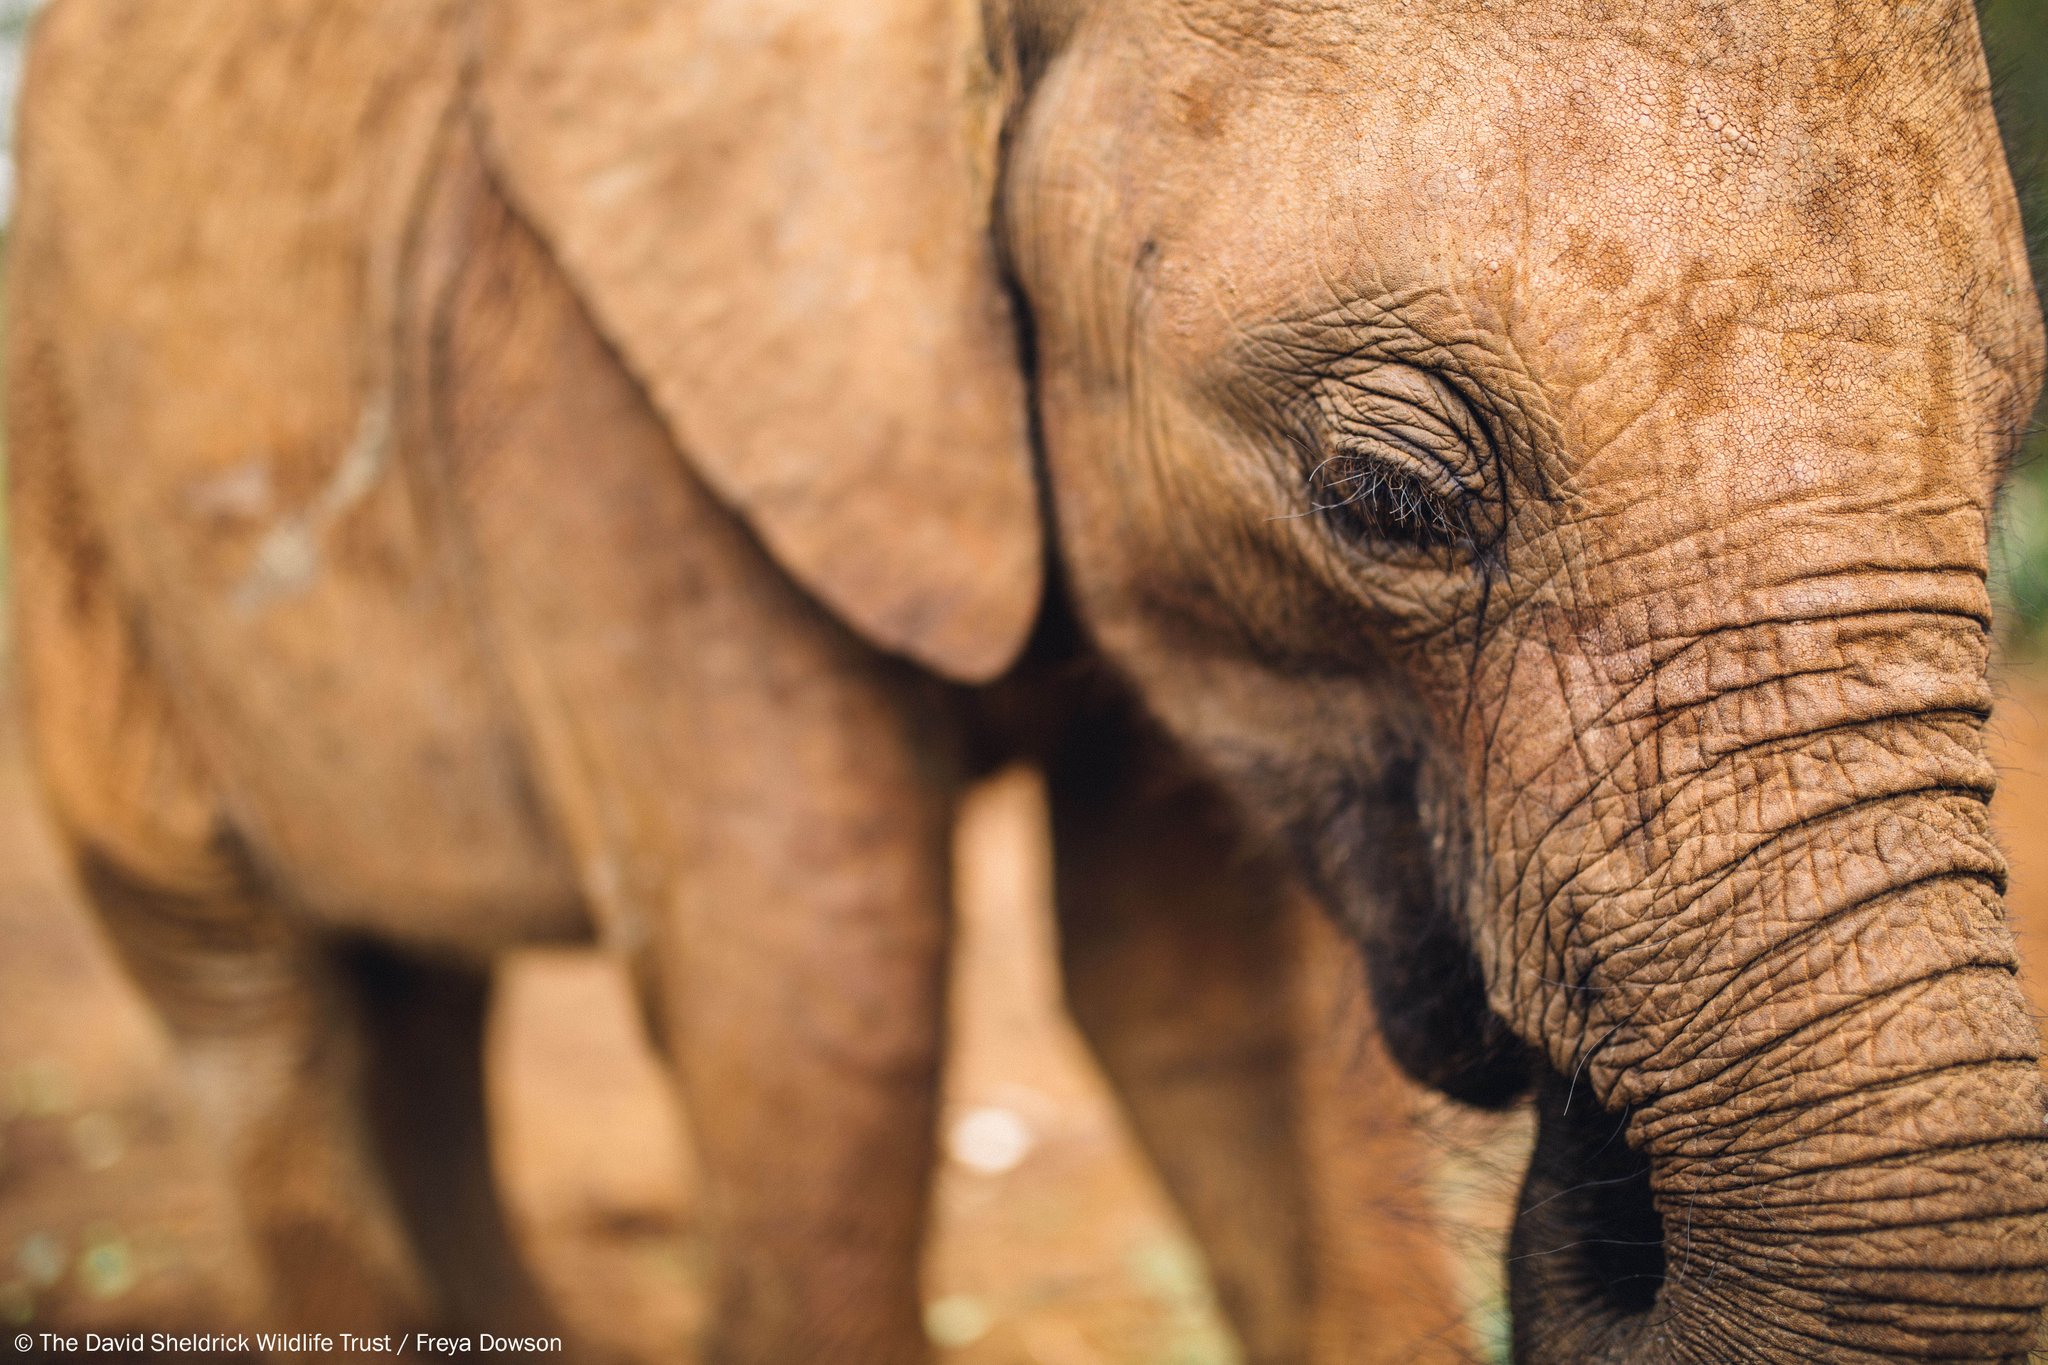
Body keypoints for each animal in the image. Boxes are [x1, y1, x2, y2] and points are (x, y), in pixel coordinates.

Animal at [7, 0, 2047, 1359]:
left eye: (2008, 442)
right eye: (1382, 497)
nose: (1593, 1160)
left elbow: (1205, 1010)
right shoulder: (577, 367)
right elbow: (825, 1010)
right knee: (248, 995)